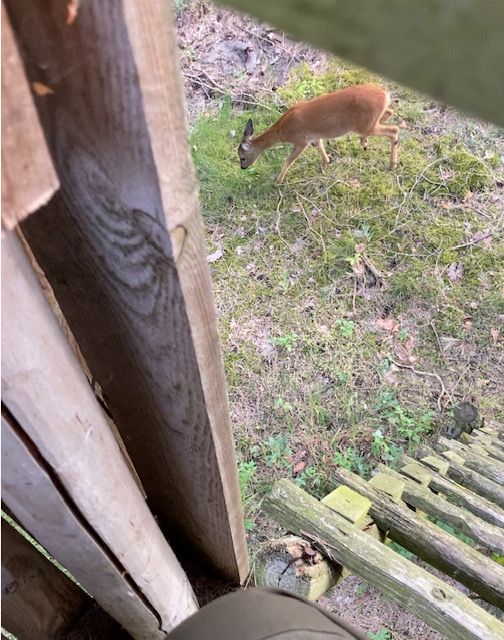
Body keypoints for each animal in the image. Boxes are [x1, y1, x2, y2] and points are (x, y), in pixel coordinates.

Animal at [238, 84, 400, 184]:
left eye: (242, 157)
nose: (243, 168)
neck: (283, 130)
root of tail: (386, 95)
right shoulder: (314, 137)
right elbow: (320, 146)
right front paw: (327, 162)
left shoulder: (301, 141)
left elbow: (288, 160)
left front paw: (278, 181)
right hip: (369, 122)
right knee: (389, 113)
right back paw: (365, 142)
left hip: (364, 125)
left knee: (394, 130)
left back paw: (392, 165)